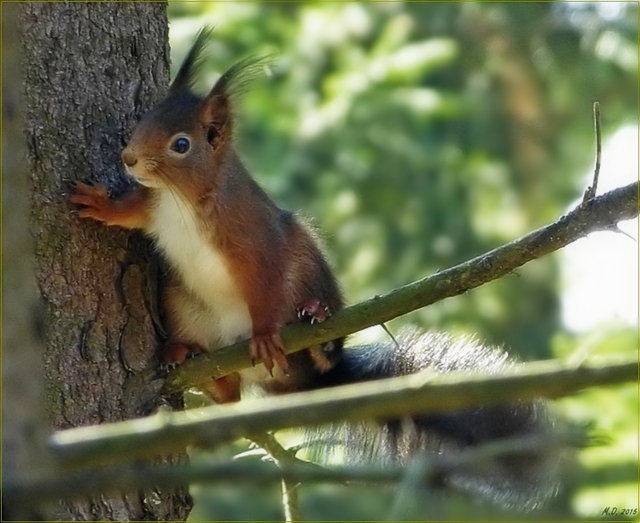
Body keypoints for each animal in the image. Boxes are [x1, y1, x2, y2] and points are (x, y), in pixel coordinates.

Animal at [71, 27, 560, 508]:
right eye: (142, 123)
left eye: (181, 145)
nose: (129, 159)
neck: (183, 202)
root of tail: (302, 387)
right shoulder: (155, 210)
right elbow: (131, 213)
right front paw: (100, 204)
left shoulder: (257, 240)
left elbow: (265, 283)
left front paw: (266, 331)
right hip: (181, 303)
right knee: (229, 397)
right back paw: (186, 353)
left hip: (307, 262)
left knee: (315, 350)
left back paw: (316, 329)